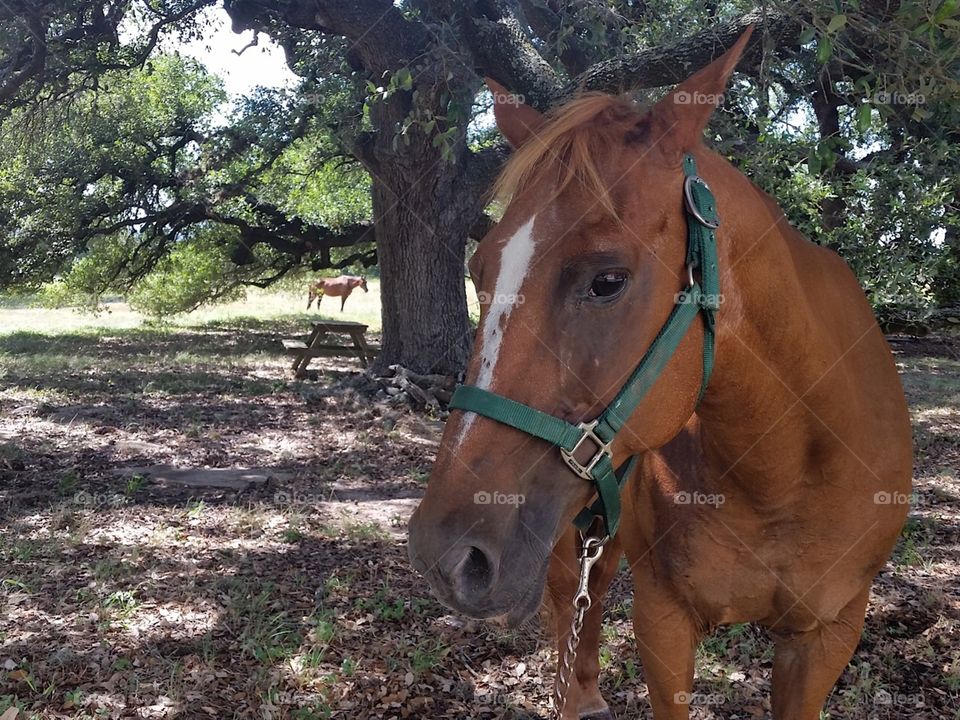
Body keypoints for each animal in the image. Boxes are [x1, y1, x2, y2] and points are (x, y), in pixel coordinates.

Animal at [408, 28, 912, 720]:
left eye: (608, 280)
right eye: (479, 272)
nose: (444, 555)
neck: (787, 470)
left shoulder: (827, 635)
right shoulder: (664, 620)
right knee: (569, 603)